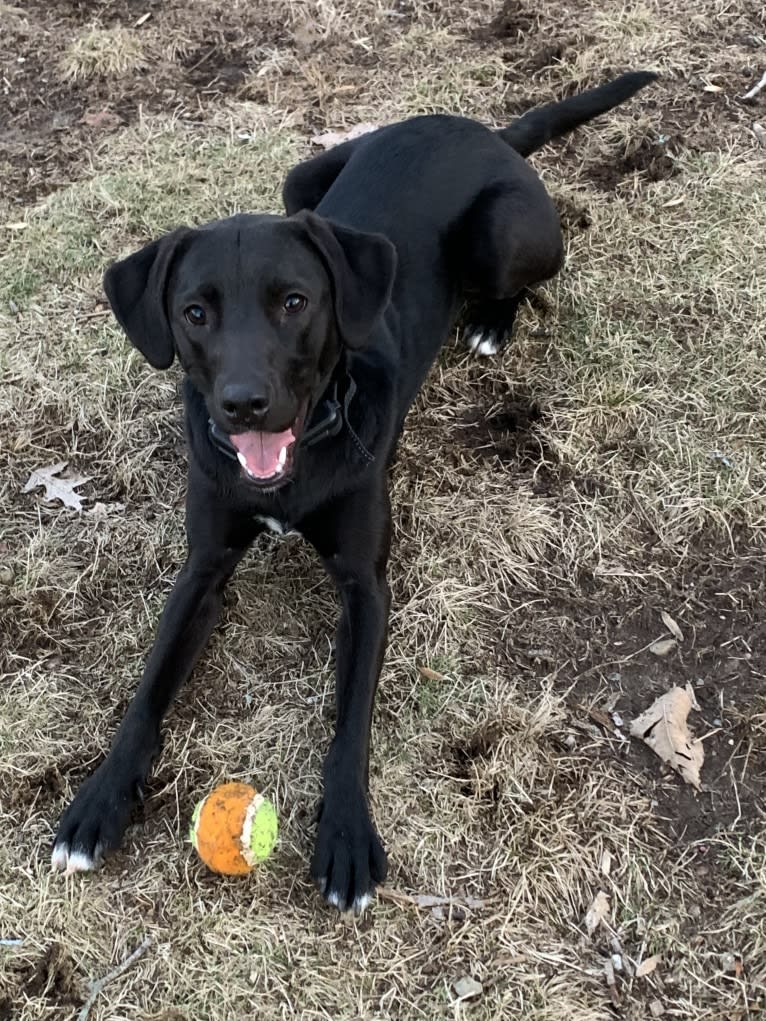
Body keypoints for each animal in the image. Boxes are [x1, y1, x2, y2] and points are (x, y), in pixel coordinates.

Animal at [51, 75, 657, 914]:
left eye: (295, 302)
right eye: (194, 312)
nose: (244, 403)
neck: (296, 463)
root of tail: (486, 131)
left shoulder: (366, 584)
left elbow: (352, 720)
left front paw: (345, 835)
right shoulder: (202, 567)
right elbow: (146, 691)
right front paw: (100, 799)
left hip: (502, 233)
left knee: (528, 278)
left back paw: (492, 324)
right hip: (301, 178)